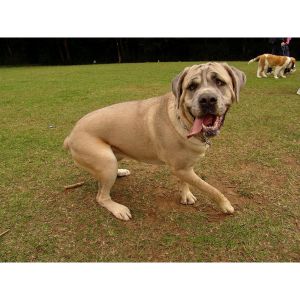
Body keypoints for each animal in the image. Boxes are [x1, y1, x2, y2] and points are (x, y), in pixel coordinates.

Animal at [63, 62, 246, 220]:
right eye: (191, 87)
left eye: (219, 82)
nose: (207, 99)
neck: (183, 121)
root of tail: (70, 135)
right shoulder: (181, 168)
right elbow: (210, 188)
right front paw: (225, 205)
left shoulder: (184, 167)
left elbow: (186, 181)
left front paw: (186, 194)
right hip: (106, 161)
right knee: (101, 196)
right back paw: (118, 208)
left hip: (112, 157)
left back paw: (120, 172)